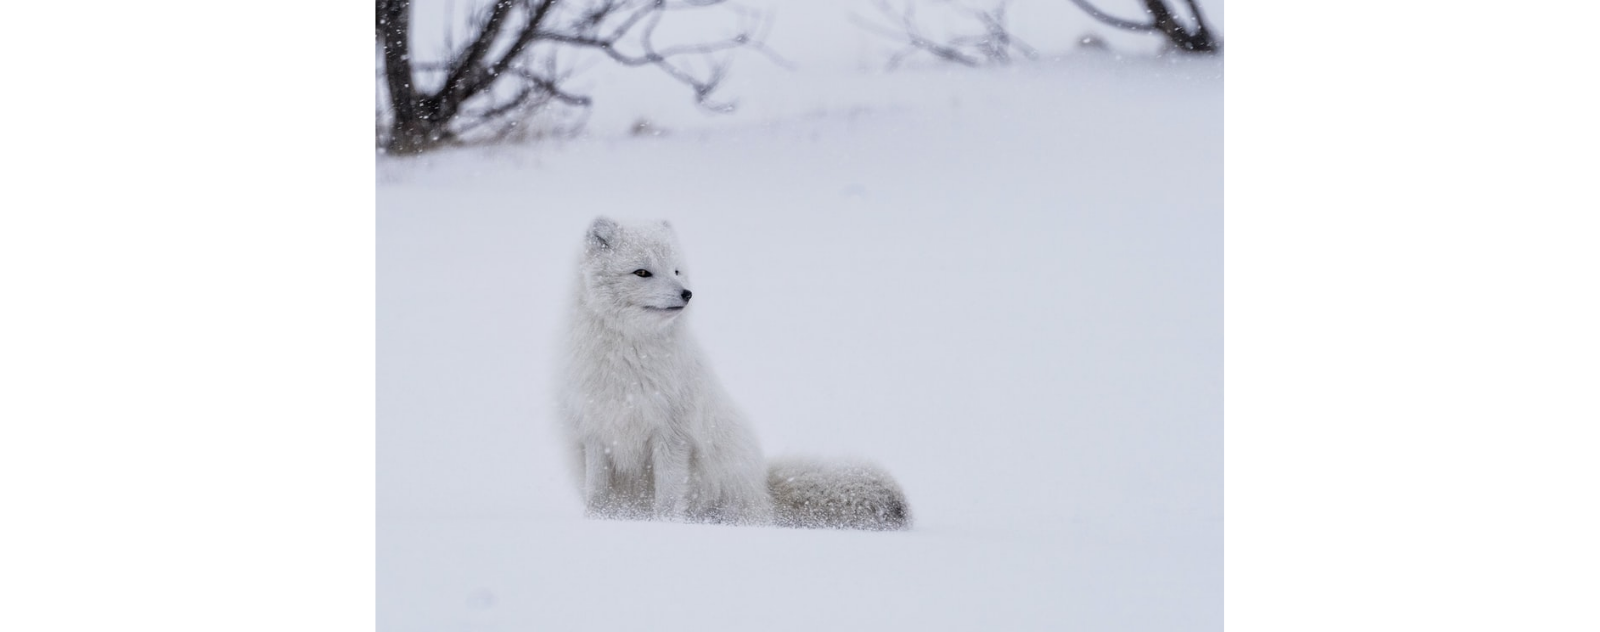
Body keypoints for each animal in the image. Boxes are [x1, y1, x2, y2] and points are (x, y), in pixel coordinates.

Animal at [557, 217, 910, 530]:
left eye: (676, 270)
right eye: (642, 272)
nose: (687, 293)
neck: (628, 359)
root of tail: (764, 490)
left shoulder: (672, 435)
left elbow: (668, 497)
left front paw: (665, 527)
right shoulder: (596, 432)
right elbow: (597, 493)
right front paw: (598, 523)